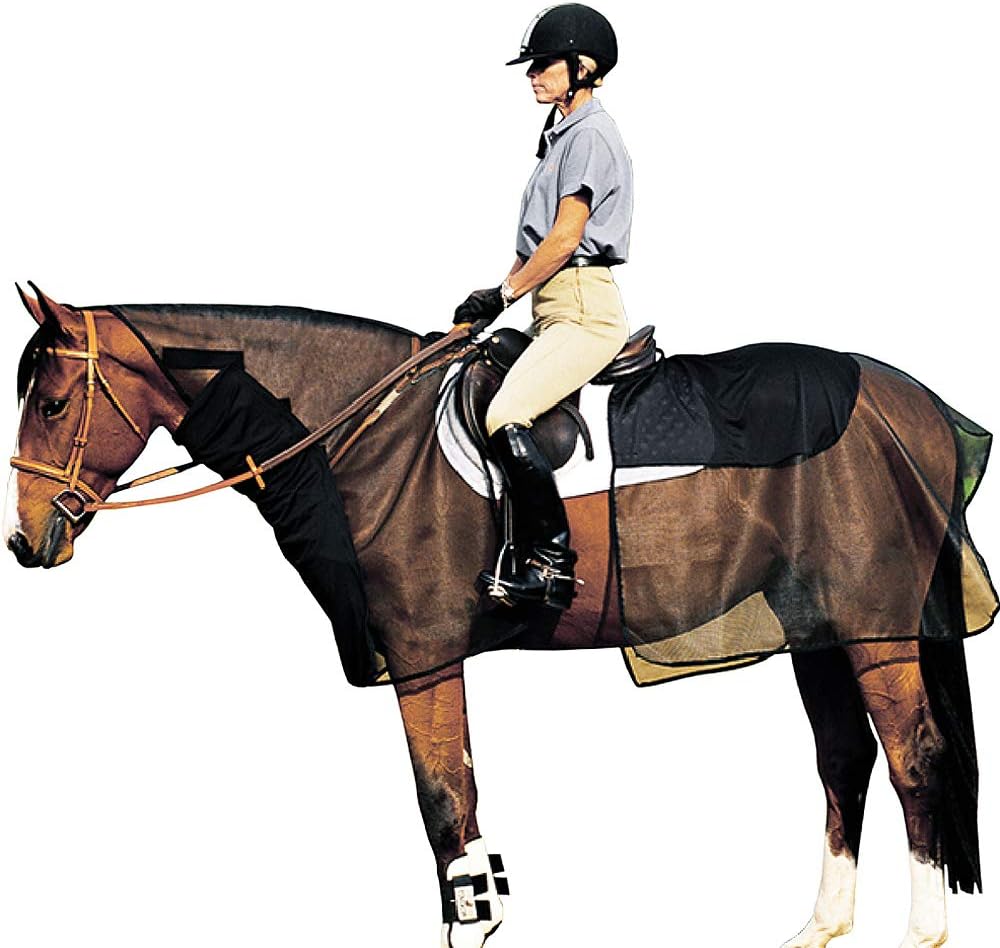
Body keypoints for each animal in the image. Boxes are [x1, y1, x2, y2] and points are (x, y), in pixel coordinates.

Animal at [5, 286, 996, 948]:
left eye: (50, 403)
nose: (24, 540)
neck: (366, 436)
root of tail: (916, 404)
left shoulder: (424, 657)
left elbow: (446, 800)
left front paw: (472, 924)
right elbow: (460, 799)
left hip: (875, 627)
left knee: (914, 758)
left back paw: (923, 931)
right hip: (816, 626)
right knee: (844, 757)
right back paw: (821, 925)